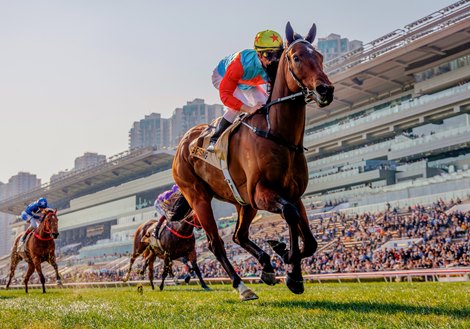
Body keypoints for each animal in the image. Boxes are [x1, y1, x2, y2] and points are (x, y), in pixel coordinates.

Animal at [173, 21, 334, 300]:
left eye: (320, 56)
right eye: (296, 57)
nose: (325, 90)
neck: (277, 134)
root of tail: (183, 143)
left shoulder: (293, 194)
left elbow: (310, 240)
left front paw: (285, 259)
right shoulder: (261, 193)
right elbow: (290, 215)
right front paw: (291, 269)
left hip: (243, 202)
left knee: (238, 235)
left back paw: (266, 266)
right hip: (198, 196)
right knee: (216, 243)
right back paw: (242, 286)